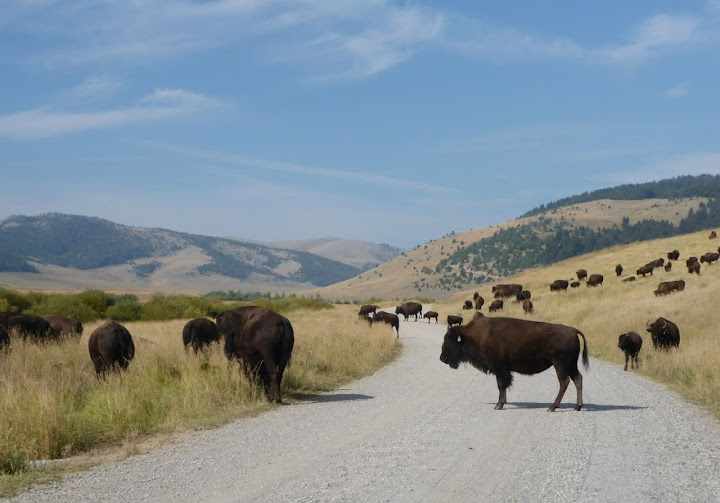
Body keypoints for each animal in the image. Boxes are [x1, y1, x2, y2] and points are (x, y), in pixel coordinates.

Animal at [438, 318, 592, 414]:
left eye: (450, 340)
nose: (442, 358)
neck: (477, 335)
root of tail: (573, 331)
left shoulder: (500, 368)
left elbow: (501, 385)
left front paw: (498, 405)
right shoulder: (502, 369)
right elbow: (504, 386)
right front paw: (502, 402)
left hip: (560, 365)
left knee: (564, 382)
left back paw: (552, 407)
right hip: (571, 365)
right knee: (578, 379)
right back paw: (577, 407)